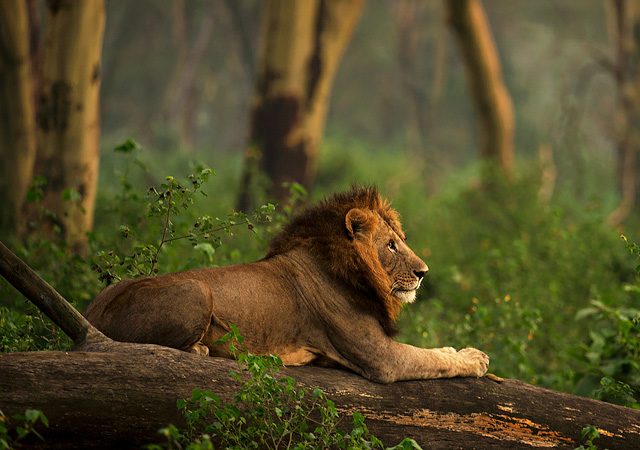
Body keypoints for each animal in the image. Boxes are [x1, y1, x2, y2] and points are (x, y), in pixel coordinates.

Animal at [82, 186, 488, 384]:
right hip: (197, 289)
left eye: (400, 240)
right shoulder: (380, 358)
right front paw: (475, 358)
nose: (424, 272)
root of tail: (91, 314)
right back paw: (202, 349)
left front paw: (460, 349)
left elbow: (434, 350)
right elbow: (430, 358)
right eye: (391, 245)